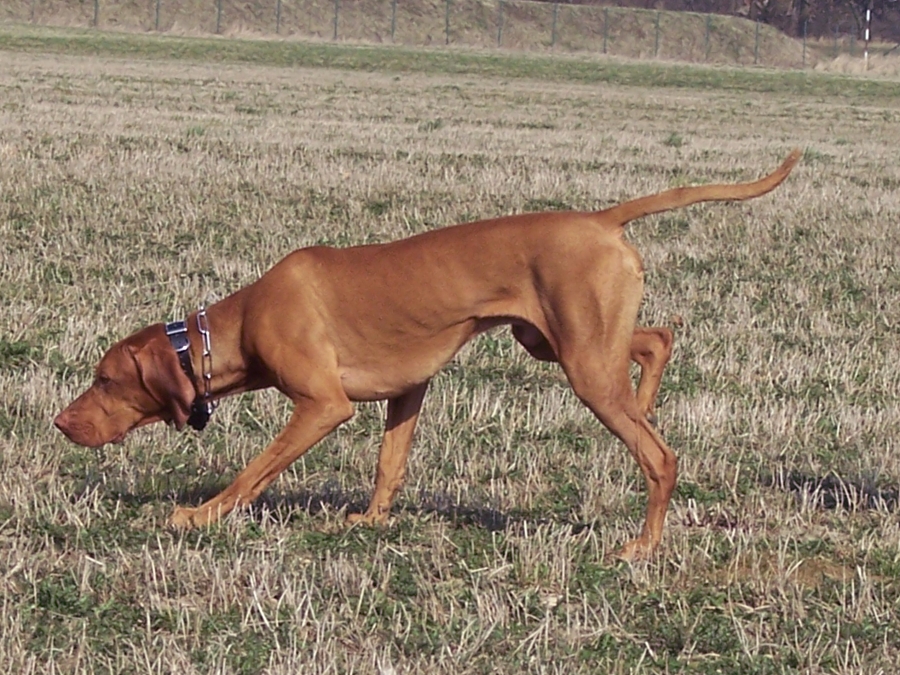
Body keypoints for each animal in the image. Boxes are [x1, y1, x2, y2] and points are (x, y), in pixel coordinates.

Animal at [55, 150, 799, 561]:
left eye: (104, 379)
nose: (61, 423)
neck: (233, 325)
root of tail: (599, 219)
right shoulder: (406, 390)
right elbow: (390, 464)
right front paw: (371, 521)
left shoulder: (322, 405)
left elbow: (255, 470)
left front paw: (200, 514)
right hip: (560, 343)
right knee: (656, 339)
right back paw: (647, 396)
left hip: (583, 367)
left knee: (659, 454)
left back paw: (642, 545)